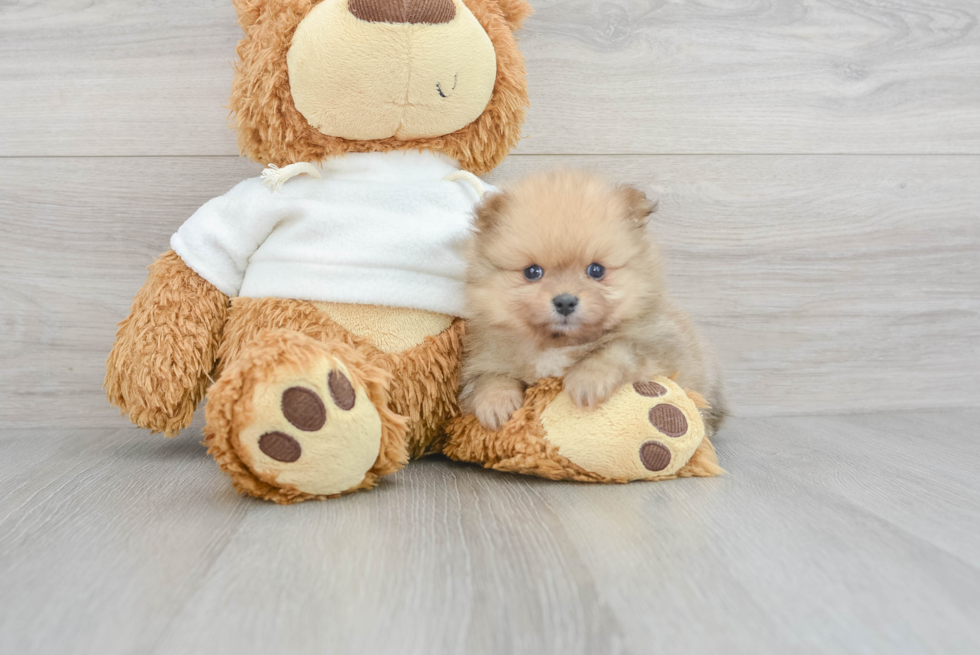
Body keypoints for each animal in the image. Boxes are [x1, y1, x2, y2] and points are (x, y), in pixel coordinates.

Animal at [462, 170, 728, 436]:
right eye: (532, 272)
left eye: (596, 270)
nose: (565, 302)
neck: (557, 343)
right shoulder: (489, 352)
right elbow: (491, 376)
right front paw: (495, 403)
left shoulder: (659, 344)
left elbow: (615, 348)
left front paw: (587, 381)